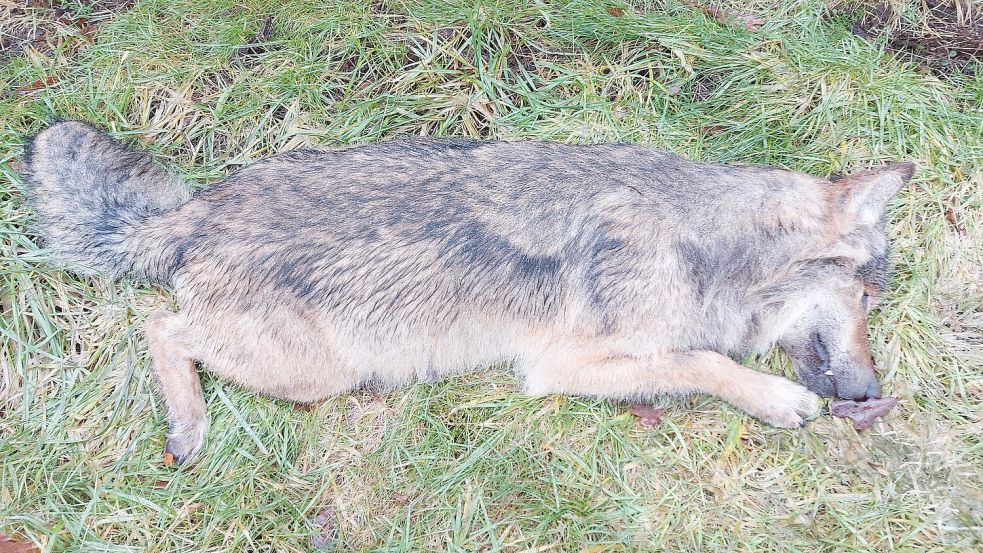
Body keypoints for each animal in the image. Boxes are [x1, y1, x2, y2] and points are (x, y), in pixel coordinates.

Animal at [22, 121, 914, 464]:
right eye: (869, 301)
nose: (871, 392)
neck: (708, 242)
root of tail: (198, 210)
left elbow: (698, 356)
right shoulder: (561, 364)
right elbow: (703, 361)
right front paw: (774, 399)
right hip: (316, 373)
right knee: (159, 324)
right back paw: (188, 424)